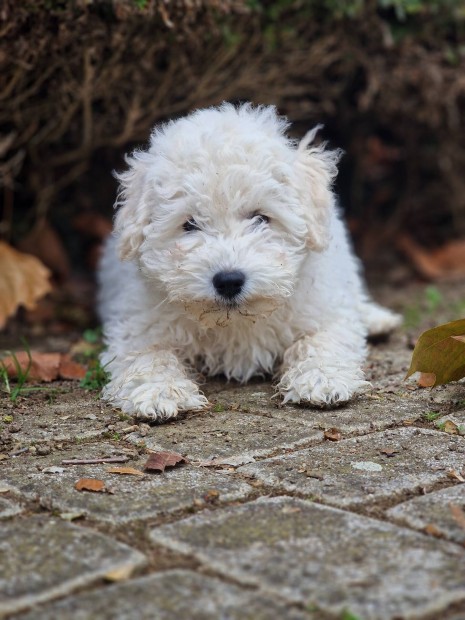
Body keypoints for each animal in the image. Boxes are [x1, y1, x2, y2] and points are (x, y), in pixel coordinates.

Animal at [98, 103, 398, 422]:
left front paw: (322, 379)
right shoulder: (138, 324)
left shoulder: (323, 309)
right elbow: (148, 354)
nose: (229, 281)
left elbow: (322, 339)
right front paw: (159, 392)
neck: (235, 322)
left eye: (260, 218)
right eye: (189, 224)